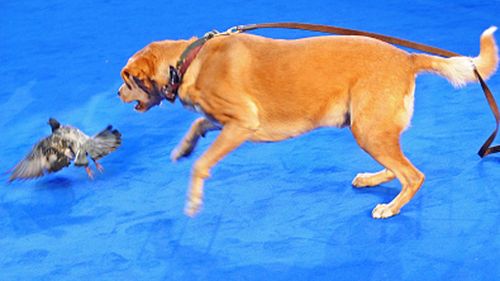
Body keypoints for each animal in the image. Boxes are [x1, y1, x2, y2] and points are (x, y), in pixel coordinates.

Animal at [117, 26, 496, 218]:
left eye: (126, 79)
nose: (116, 92)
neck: (189, 60)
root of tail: (407, 57)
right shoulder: (225, 122)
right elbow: (198, 125)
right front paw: (184, 147)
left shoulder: (242, 123)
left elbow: (201, 165)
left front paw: (194, 200)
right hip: (372, 129)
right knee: (398, 168)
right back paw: (373, 179)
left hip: (367, 131)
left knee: (413, 175)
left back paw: (390, 208)